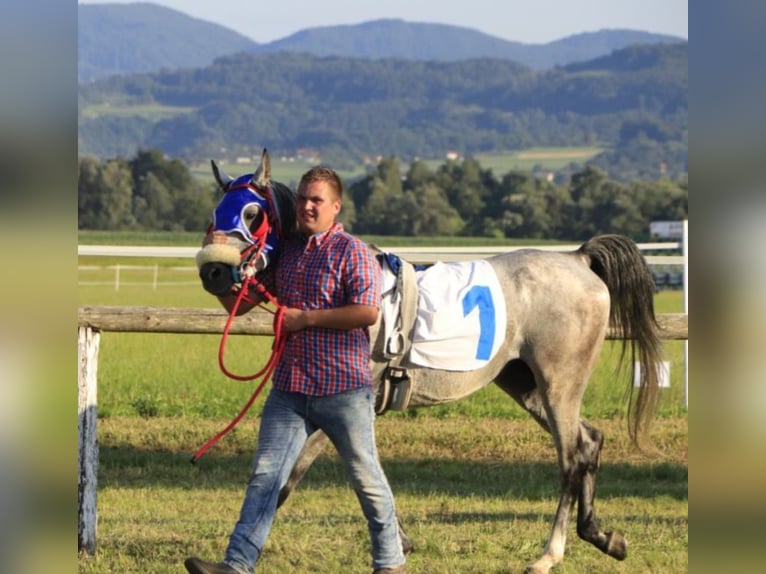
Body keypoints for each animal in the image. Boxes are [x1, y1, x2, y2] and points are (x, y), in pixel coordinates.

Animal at [195, 151, 664, 574]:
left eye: (252, 213)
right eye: (215, 213)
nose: (213, 272)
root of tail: (578, 258)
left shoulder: (343, 405)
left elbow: (299, 479)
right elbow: (332, 477)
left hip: (558, 383)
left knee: (570, 457)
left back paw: (549, 555)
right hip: (525, 383)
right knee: (589, 441)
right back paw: (603, 536)